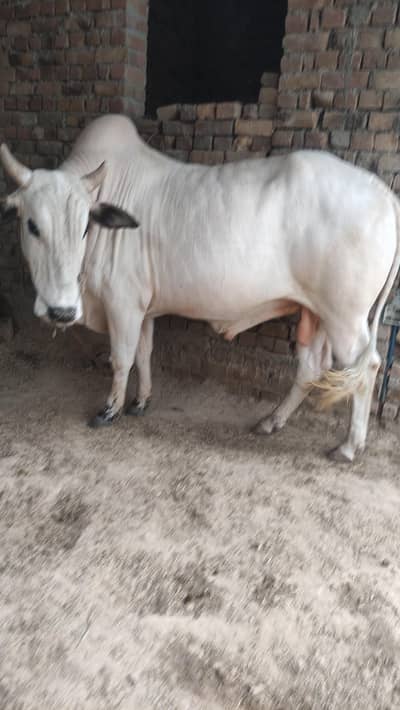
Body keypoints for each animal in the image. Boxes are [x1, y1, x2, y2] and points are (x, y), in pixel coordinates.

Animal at [1, 114, 399, 462]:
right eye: (32, 225)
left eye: (85, 227)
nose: (62, 311)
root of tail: (384, 193)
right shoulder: (144, 307)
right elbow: (144, 354)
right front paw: (141, 402)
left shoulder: (122, 304)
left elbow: (121, 359)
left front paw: (110, 410)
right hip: (316, 314)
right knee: (311, 369)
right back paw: (272, 421)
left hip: (346, 317)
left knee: (367, 367)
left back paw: (349, 446)